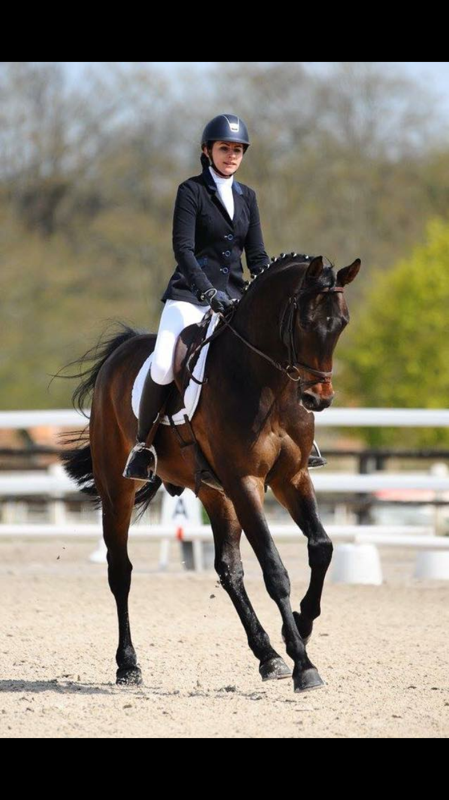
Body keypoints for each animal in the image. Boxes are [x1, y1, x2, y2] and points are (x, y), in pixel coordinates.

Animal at [62, 253, 360, 692]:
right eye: (305, 322)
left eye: (341, 322)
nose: (317, 399)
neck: (265, 381)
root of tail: (122, 351)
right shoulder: (245, 482)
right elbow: (274, 570)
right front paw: (304, 665)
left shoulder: (291, 478)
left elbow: (321, 548)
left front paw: (301, 626)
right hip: (118, 489)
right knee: (120, 570)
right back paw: (128, 665)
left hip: (213, 493)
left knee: (228, 569)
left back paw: (268, 655)